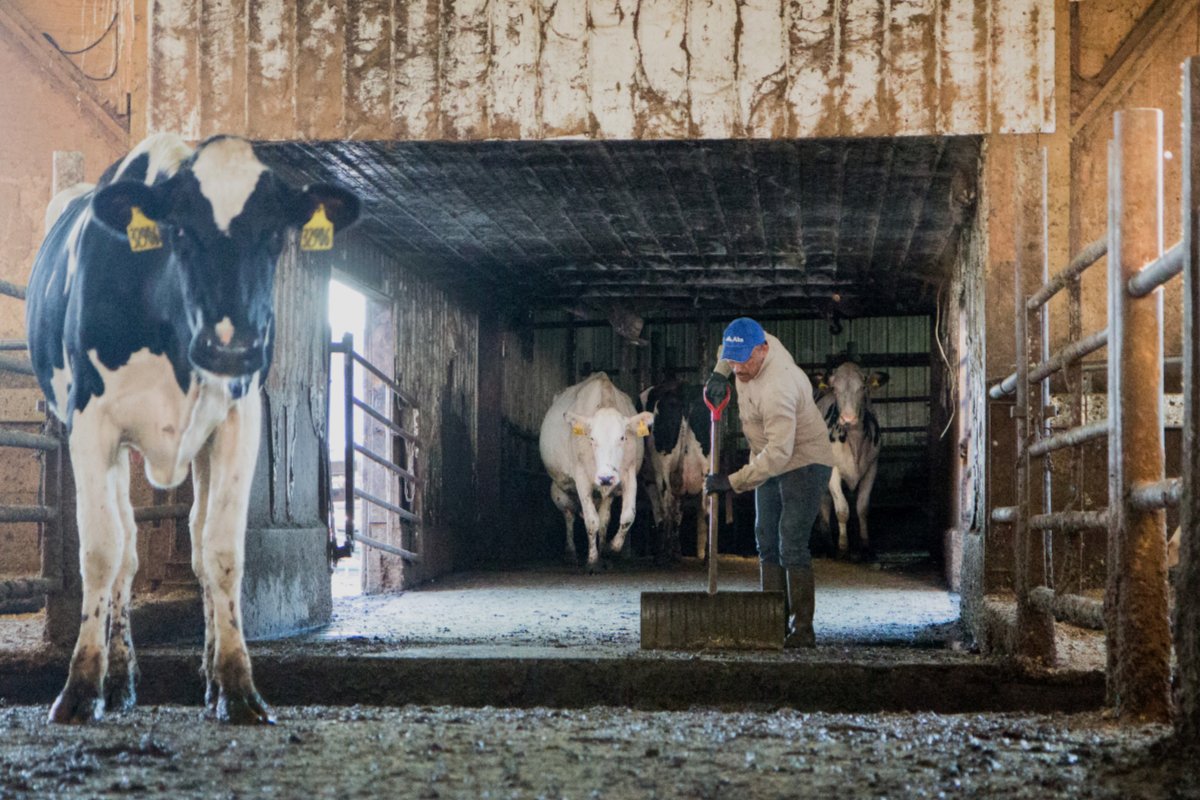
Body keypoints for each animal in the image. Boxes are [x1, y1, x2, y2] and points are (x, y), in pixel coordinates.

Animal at [25, 133, 357, 724]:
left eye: (276, 234)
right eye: (178, 231)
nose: (231, 349)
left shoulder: (238, 422)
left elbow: (221, 552)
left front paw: (237, 687)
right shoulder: (91, 424)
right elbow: (100, 553)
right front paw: (81, 688)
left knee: (194, 545)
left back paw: (199, 678)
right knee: (127, 556)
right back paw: (119, 679)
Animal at [542, 371, 657, 573]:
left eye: (622, 437)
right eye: (592, 438)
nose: (606, 477)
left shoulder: (629, 475)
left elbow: (626, 517)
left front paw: (609, 551)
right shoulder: (581, 478)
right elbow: (591, 521)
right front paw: (593, 561)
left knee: (604, 518)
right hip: (559, 492)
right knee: (569, 515)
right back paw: (571, 554)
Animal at [820, 364, 888, 561]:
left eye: (863, 388)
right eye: (835, 389)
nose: (848, 419)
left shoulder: (872, 466)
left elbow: (862, 507)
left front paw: (865, 546)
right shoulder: (832, 470)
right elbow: (842, 509)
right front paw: (843, 548)